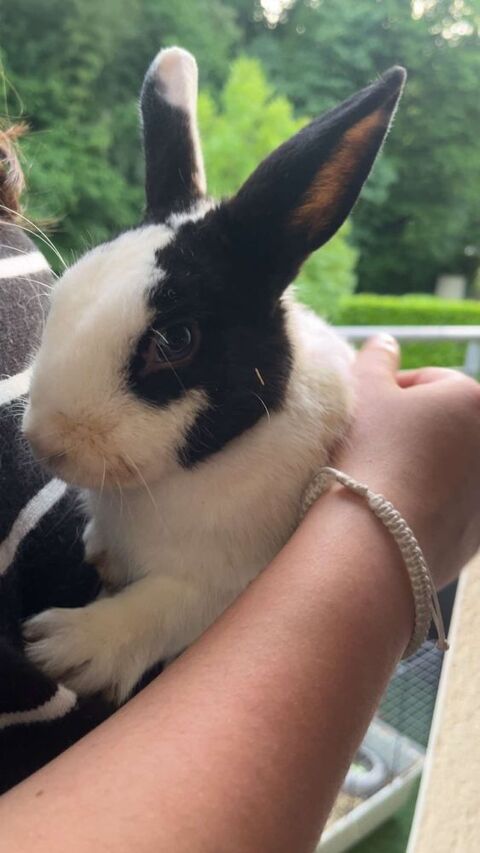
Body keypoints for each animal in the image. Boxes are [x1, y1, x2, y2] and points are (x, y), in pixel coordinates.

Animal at [22, 48, 405, 704]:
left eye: (176, 341)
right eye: (63, 294)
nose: (46, 441)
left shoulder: (230, 581)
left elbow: (165, 605)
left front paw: (61, 646)